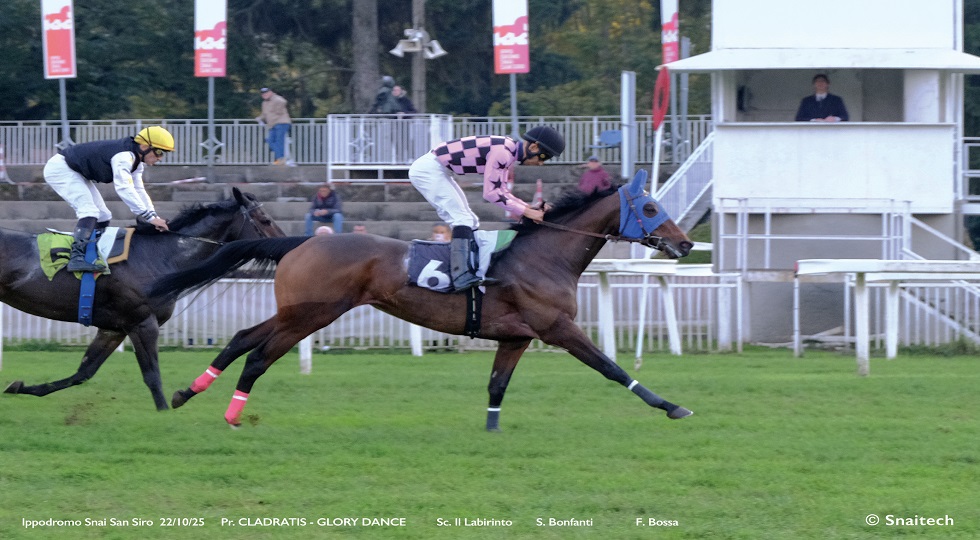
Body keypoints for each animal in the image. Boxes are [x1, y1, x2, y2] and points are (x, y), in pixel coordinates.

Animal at [2, 187, 285, 410]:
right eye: (266, 219)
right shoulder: (142, 323)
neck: (160, 256)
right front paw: (164, 412)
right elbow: (152, 376)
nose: (285, 244)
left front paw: (19, 387)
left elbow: (83, 373)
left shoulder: (113, 329)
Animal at [149, 170, 695, 430]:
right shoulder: (556, 327)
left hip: (299, 311)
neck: (542, 255)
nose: (686, 243)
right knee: (259, 355)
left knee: (243, 337)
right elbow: (611, 367)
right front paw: (670, 406)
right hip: (311, 314)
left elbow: (497, 386)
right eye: (651, 207)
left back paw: (188, 392)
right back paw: (231, 413)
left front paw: (491, 431)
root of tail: (303, 241)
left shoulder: (516, 337)